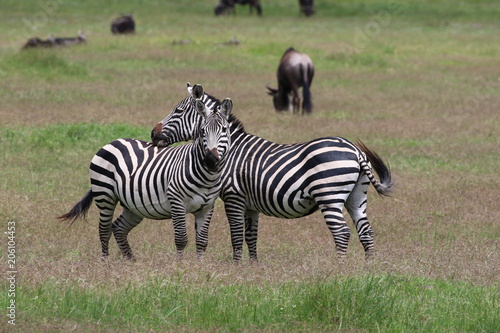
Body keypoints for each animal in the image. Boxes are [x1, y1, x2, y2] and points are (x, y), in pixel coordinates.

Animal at [58, 96, 232, 260]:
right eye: (202, 131)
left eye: (224, 130)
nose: (211, 160)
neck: (207, 177)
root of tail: (113, 141)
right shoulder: (177, 202)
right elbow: (181, 239)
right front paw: (180, 265)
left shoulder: (207, 207)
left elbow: (202, 242)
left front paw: (198, 266)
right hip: (105, 195)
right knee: (104, 230)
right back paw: (105, 261)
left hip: (133, 205)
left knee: (118, 227)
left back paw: (131, 261)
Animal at [149, 83, 394, 262]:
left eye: (178, 111)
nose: (152, 134)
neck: (231, 148)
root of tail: (356, 151)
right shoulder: (250, 204)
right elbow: (251, 236)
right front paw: (253, 266)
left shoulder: (233, 197)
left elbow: (236, 235)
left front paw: (236, 266)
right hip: (356, 196)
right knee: (366, 231)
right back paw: (367, 268)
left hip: (329, 195)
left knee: (342, 232)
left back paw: (339, 269)